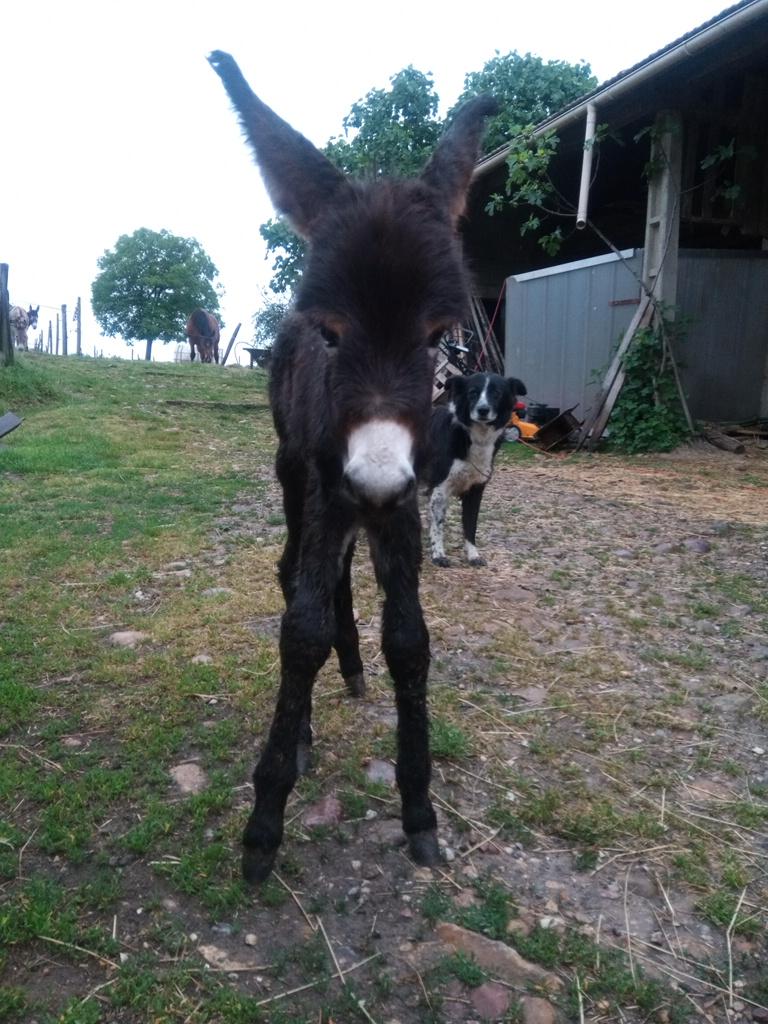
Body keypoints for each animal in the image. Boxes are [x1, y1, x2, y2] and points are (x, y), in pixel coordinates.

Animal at [207, 49, 495, 880]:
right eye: (330, 333)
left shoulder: (403, 500)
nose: (370, 485)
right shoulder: (330, 483)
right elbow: (298, 628)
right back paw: (307, 721)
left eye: (437, 336)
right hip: (296, 476)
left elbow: (411, 640)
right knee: (292, 573)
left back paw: (353, 667)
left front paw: (420, 811)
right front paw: (264, 823)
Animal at [428, 372, 528, 569]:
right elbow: (438, 525)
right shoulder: (440, 489)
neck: (474, 436)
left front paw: (473, 555)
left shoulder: (475, 490)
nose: (483, 410)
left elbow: (470, 526)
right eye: (472, 393)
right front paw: (438, 554)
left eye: (496, 394)